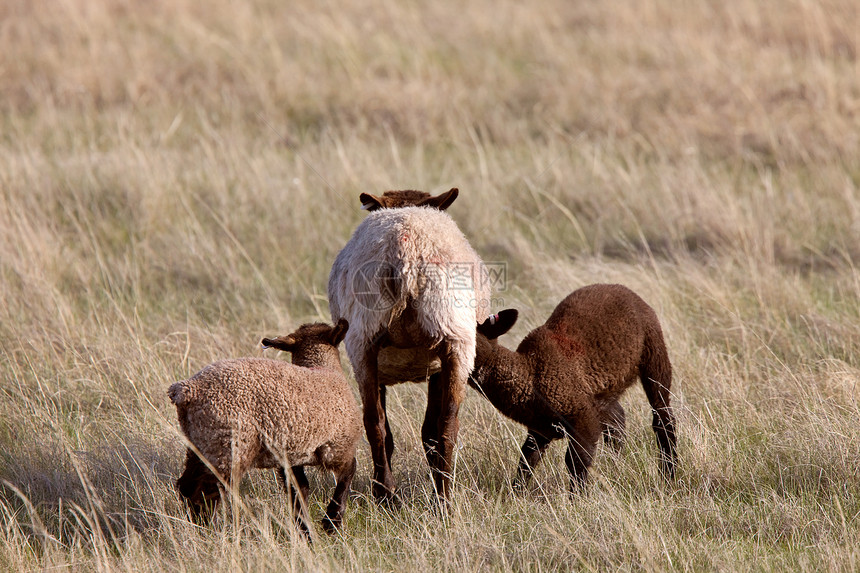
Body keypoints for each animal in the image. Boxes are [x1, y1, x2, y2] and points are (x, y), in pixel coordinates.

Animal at [168, 320, 360, 536]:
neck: (322, 368)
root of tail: (186, 390)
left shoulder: (291, 456)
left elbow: (299, 491)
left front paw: (305, 531)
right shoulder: (337, 446)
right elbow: (348, 474)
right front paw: (331, 522)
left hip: (202, 443)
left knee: (186, 487)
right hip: (230, 445)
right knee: (204, 491)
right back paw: (212, 532)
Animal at [330, 188, 490, 500]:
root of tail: (407, 247)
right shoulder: (437, 364)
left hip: (366, 342)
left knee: (377, 423)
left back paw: (392, 494)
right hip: (455, 340)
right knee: (445, 425)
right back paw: (436, 496)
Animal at [470, 284, 680, 494]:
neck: (530, 374)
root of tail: (623, 289)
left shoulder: (583, 419)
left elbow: (575, 462)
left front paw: (577, 498)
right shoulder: (541, 428)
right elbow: (527, 460)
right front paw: (516, 493)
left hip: (654, 352)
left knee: (662, 416)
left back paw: (669, 475)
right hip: (600, 395)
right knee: (617, 421)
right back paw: (617, 469)